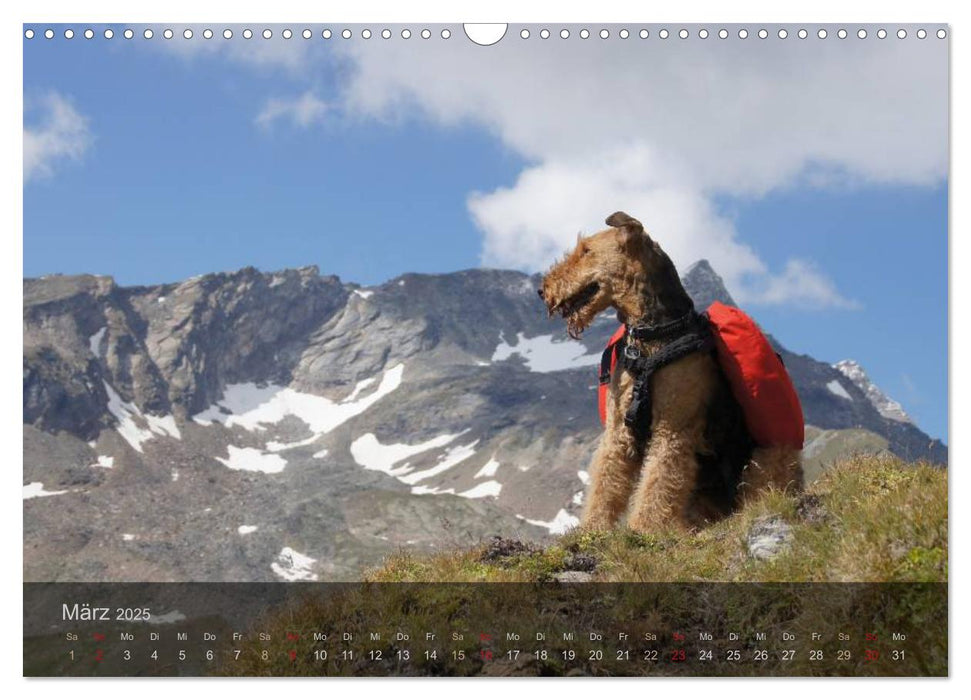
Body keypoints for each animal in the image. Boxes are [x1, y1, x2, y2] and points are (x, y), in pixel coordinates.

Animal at [540, 212, 804, 532]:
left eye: (586, 251)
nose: (542, 290)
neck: (651, 336)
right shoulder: (617, 432)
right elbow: (605, 485)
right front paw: (591, 529)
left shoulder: (672, 429)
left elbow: (658, 483)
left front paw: (641, 529)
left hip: (770, 456)